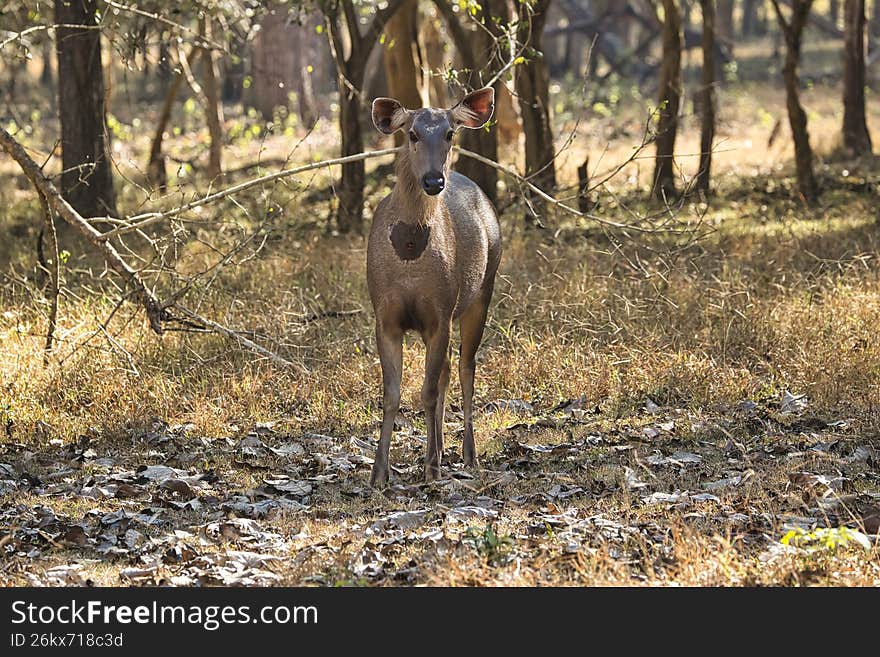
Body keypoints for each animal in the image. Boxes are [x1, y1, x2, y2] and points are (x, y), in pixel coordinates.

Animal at [367, 87, 502, 487]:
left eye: (449, 133)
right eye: (411, 133)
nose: (433, 181)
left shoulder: (440, 312)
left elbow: (426, 391)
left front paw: (430, 468)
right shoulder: (385, 316)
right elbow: (391, 395)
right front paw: (379, 473)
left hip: (481, 291)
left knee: (466, 366)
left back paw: (468, 455)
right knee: (446, 370)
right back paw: (441, 449)